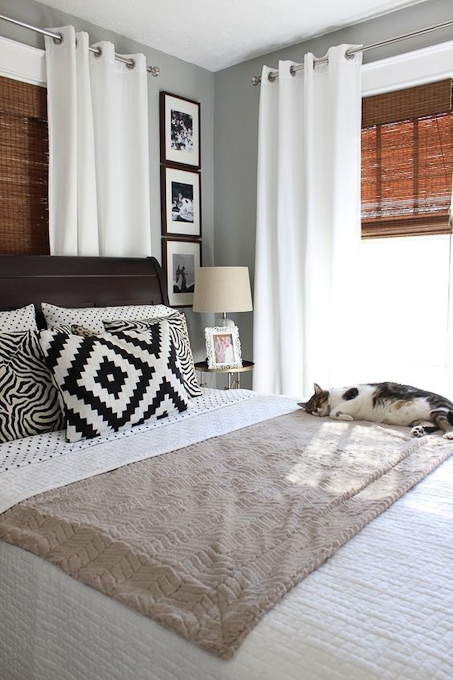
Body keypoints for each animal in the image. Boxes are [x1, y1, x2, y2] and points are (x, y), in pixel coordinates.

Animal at [296, 380, 452, 438]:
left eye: (318, 401)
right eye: (311, 409)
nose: (316, 410)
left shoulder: (355, 396)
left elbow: (333, 414)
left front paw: (347, 417)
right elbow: (333, 414)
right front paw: (345, 416)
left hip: (439, 410)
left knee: (447, 425)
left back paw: (449, 434)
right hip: (422, 419)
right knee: (433, 426)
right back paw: (418, 431)